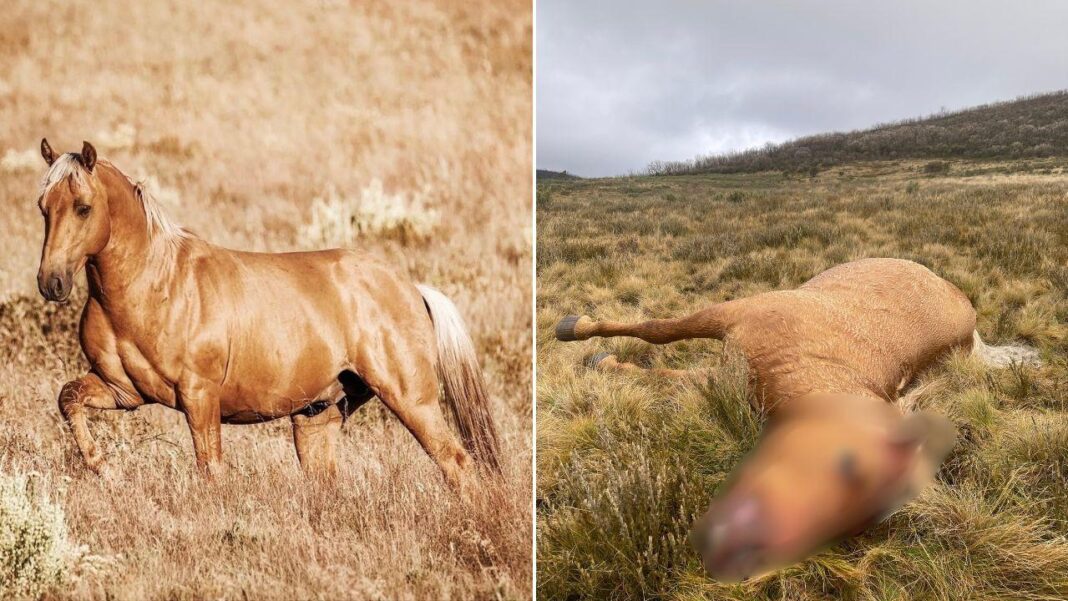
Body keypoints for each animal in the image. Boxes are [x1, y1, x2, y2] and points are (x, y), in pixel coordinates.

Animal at [35, 139, 499, 490]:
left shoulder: (199, 397)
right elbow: (68, 397)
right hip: (318, 415)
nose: (51, 282)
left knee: (456, 462)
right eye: (43, 206)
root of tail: (412, 289)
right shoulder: (123, 391)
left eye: (83, 207)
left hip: (410, 398)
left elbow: (211, 470)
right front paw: (103, 467)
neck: (155, 286)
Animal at [554, 257, 1038, 581]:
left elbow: (666, 375)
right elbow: (656, 330)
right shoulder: (728, 318)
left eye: (855, 526)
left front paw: (603, 361)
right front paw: (576, 329)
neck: (810, 356)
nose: (739, 556)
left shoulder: (725, 377)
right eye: (847, 464)